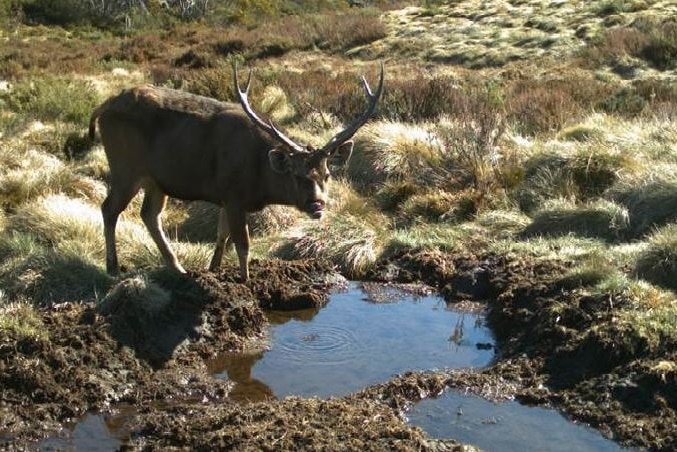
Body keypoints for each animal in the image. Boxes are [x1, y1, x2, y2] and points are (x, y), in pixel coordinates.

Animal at [89, 61, 382, 280]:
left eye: (327, 175)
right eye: (296, 175)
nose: (317, 204)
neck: (259, 178)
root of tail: (102, 107)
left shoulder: (224, 196)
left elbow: (222, 235)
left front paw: (214, 269)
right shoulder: (234, 195)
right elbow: (242, 244)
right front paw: (245, 281)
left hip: (156, 180)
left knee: (149, 214)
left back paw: (178, 268)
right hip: (124, 166)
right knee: (109, 208)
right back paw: (113, 267)